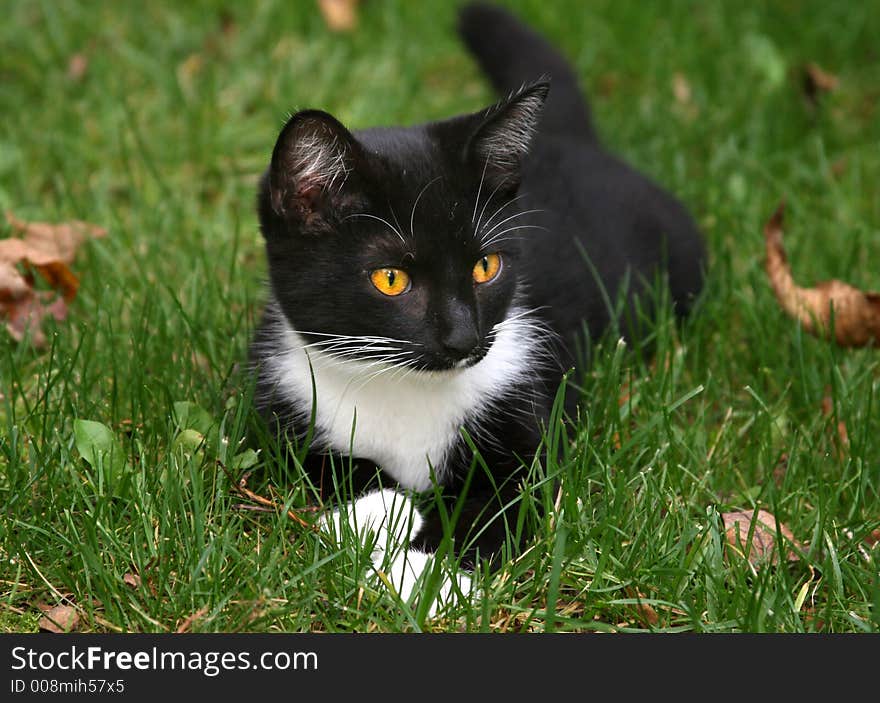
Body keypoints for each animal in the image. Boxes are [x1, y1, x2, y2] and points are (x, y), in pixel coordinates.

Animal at [248, 2, 700, 612]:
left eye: (486, 266)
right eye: (391, 278)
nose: (463, 338)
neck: (404, 388)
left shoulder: (526, 406)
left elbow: (502, 496)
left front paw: (428, 575)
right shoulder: (280, 400)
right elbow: (322, 464)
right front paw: (381, 514)